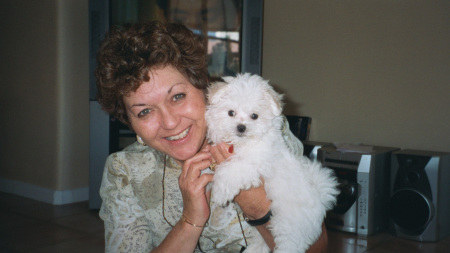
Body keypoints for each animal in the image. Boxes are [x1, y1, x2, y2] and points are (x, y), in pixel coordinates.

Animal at [206, 72, 340, 251]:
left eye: (254, 116)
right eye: (231, 113)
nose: (241, 127)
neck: (242, 143)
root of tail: (321, 202)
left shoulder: (253, 164)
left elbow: (231, 171)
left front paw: (220, 193)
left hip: (290, 228)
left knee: (289, 246)